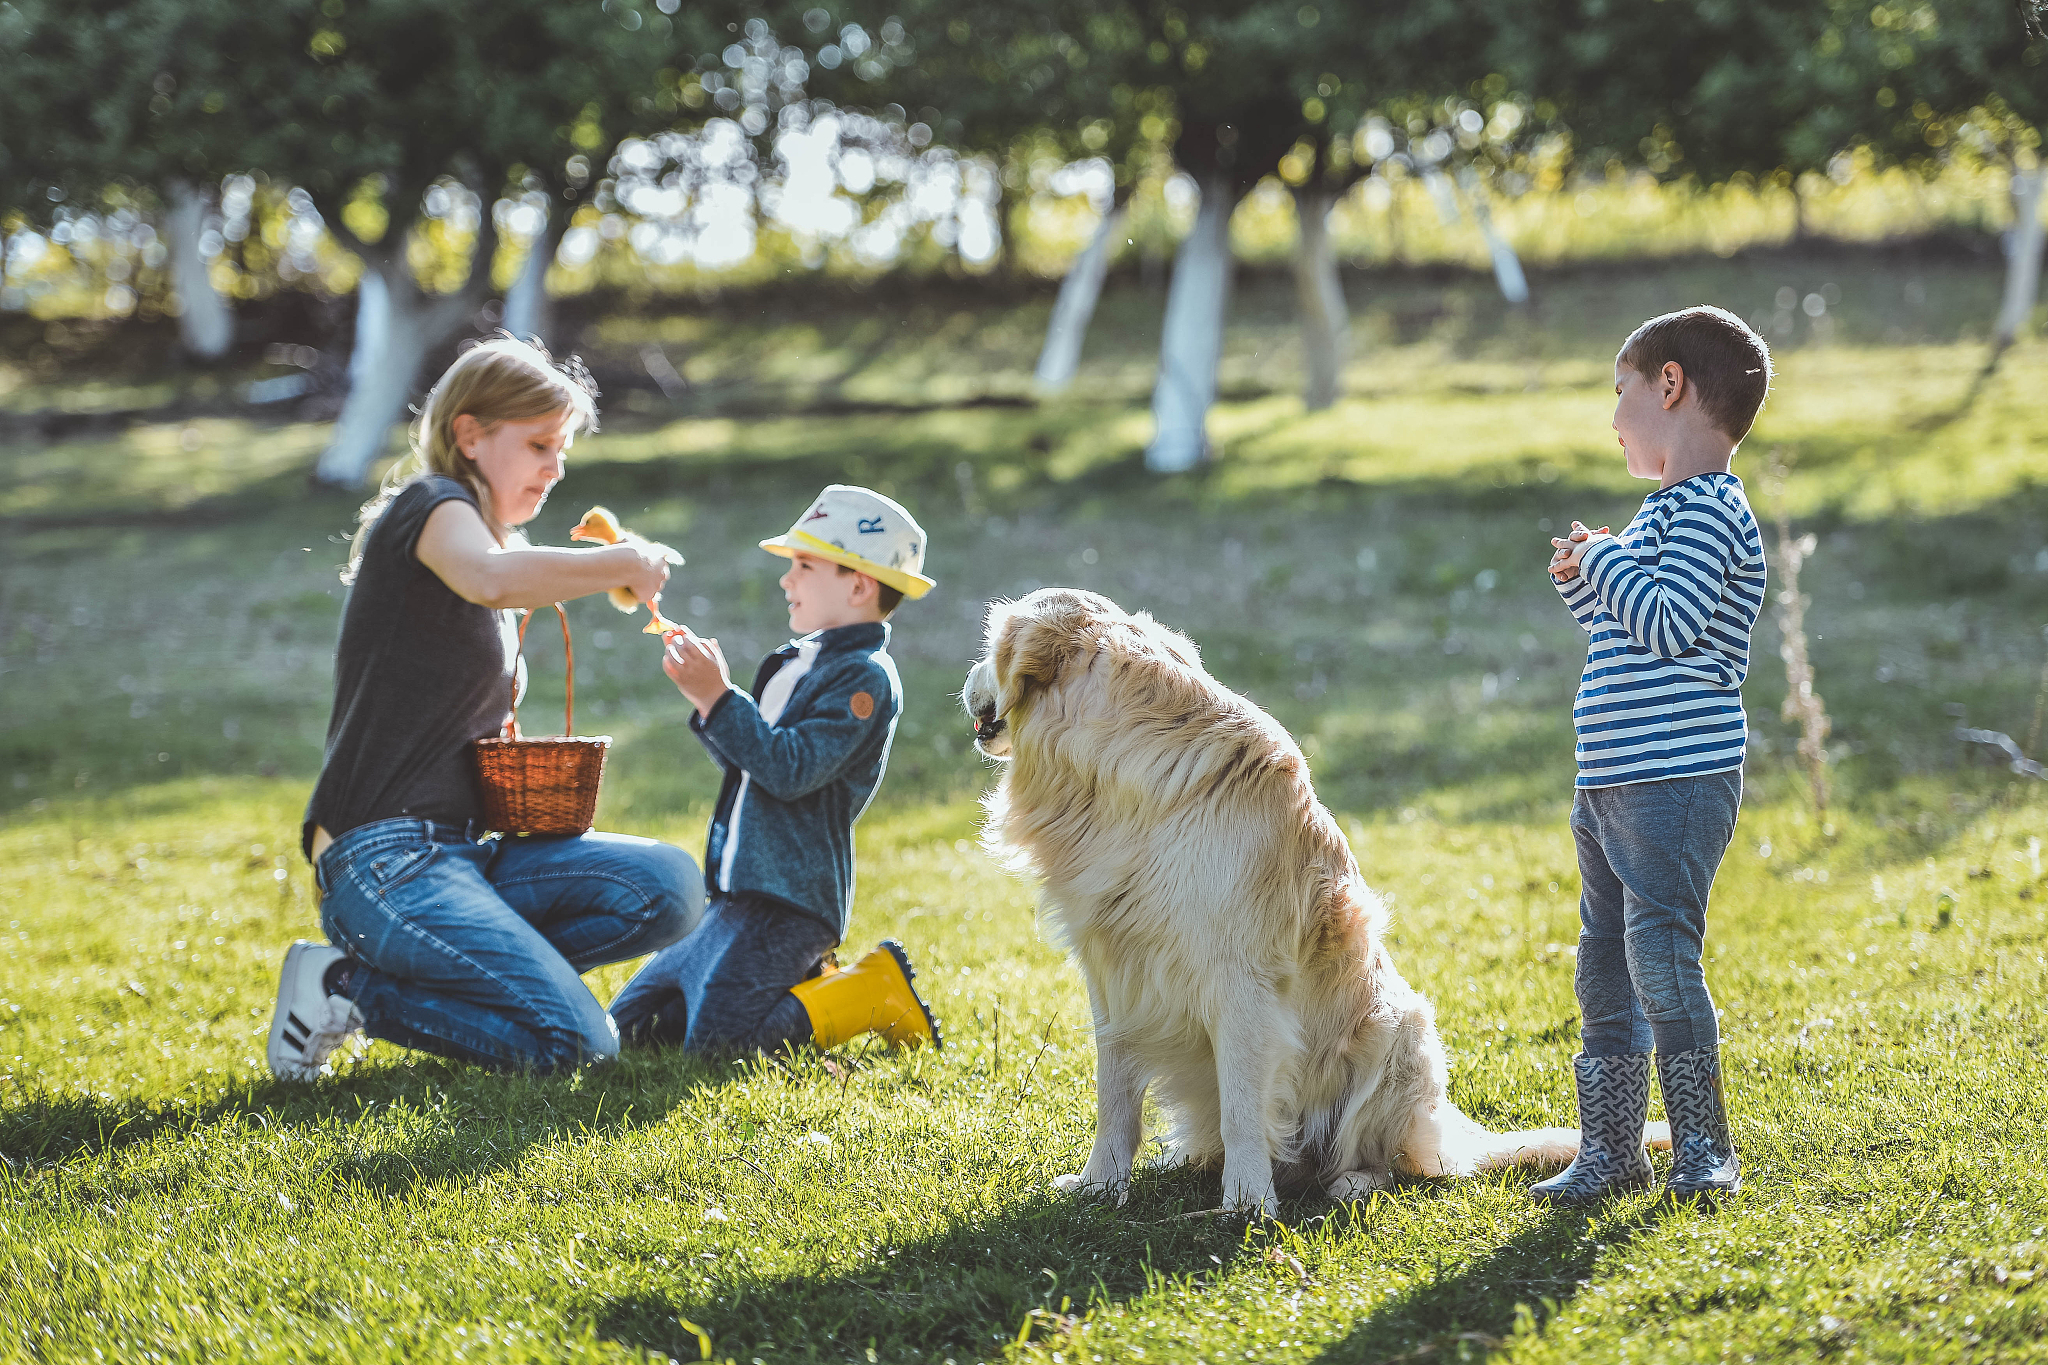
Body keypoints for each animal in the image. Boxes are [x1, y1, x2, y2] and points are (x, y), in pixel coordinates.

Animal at [962, 589, 1662, 1219]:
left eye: (990, 647)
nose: (964, 682)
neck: (1111, 779)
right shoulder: (1112, 977)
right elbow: (1115, 1099)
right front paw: (1100, 1187)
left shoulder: (1242, 983)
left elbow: (1244, 1108)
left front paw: (1246, 1204)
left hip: (1400, 1032)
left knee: (1394, 1163)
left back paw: (1345, 1182)